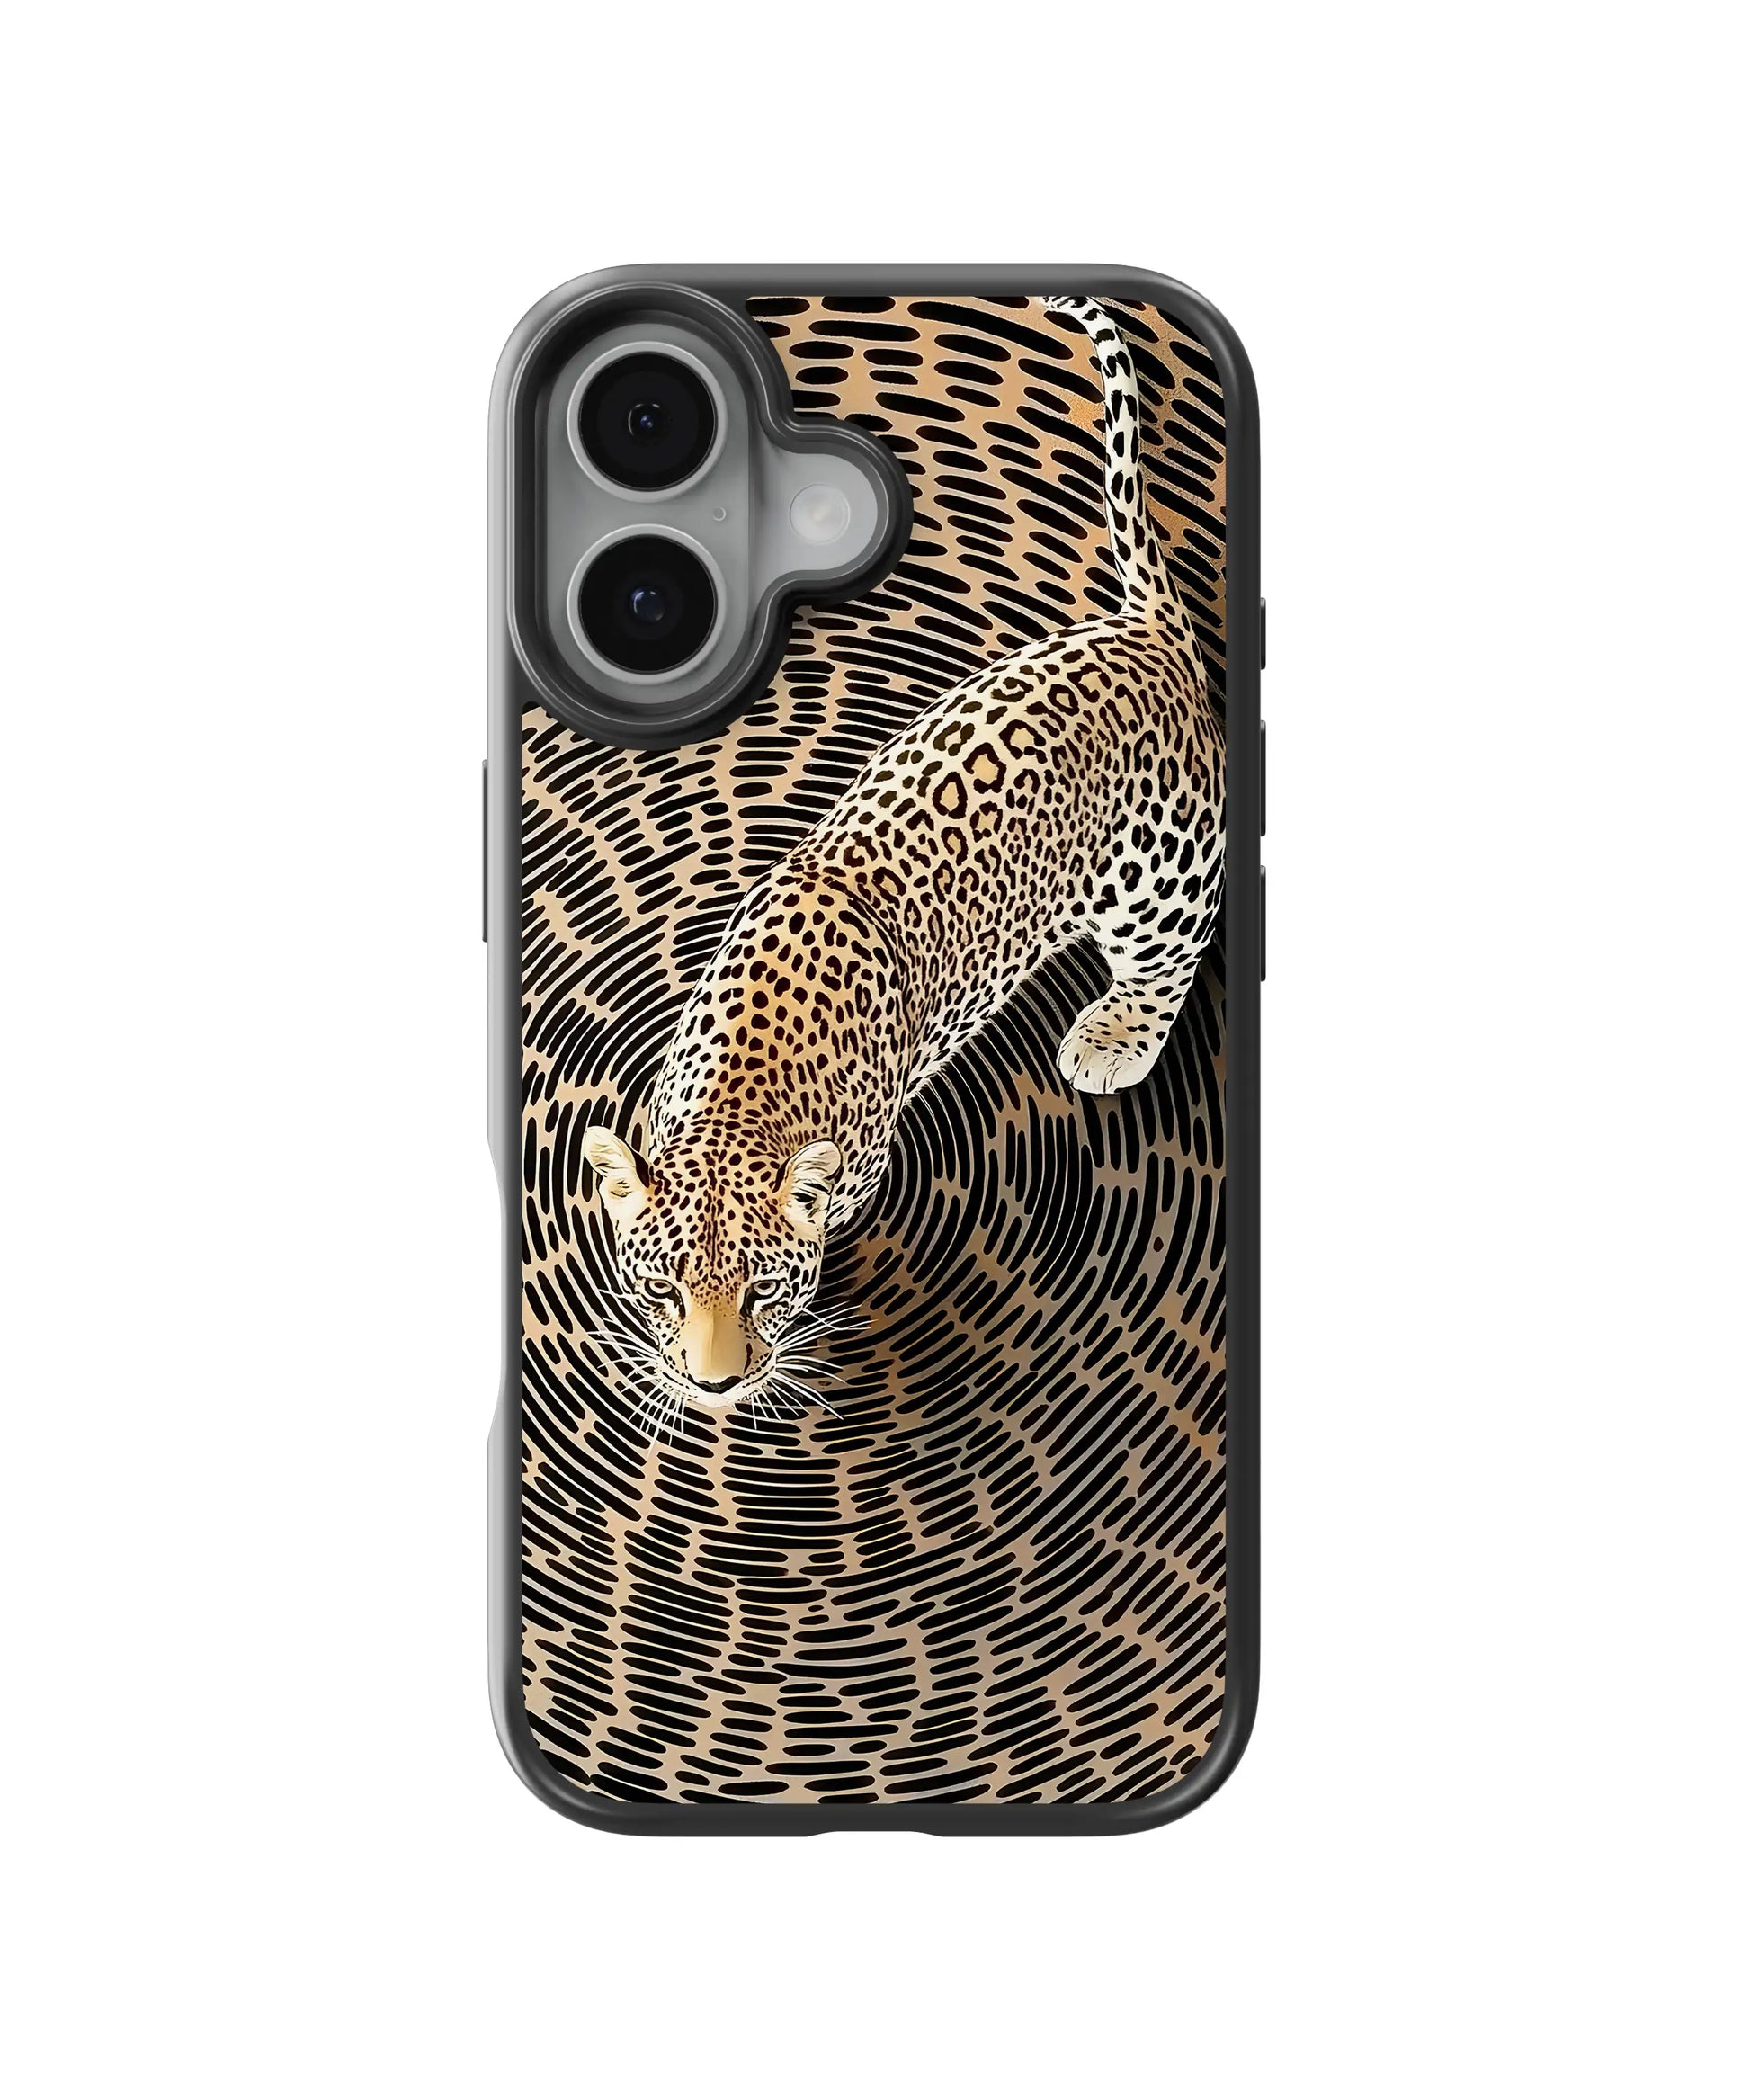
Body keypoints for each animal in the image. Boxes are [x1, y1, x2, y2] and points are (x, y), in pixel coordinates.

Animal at [584, 297, 1226, 1419]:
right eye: (664, 1288)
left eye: (761, 1292)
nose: (713, 1387)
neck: (744, 1096)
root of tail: (1142, 628)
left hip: (1160, 868)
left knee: (1172, 947)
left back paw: (1113, 1034)